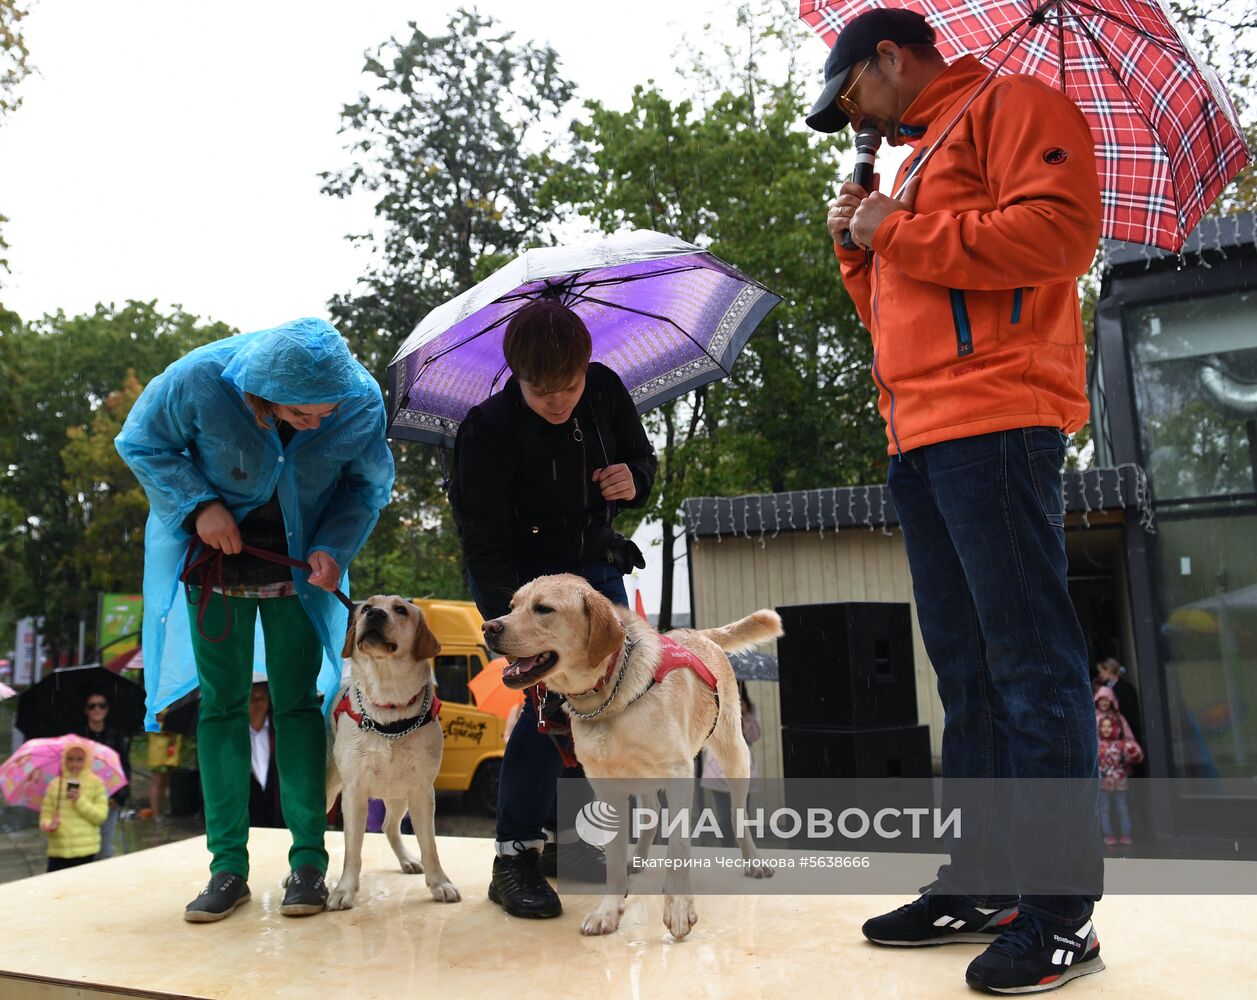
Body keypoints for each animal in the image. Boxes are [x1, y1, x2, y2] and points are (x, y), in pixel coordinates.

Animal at [326, 597, 460, 909]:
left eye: (401, 609)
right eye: (365, 608)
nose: (375, 614)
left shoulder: (422, 790)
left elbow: (430, 845)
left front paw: (440, 883)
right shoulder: (353, 792)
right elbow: (352, 849)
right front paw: (344, 889)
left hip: (399, 794)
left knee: (389, 825)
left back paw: (408, 859)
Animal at [485, 575, 779, 939]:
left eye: (543, 608)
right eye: (512, 607)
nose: (488, 627)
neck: (609, 696)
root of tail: (698, 632)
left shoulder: (680, 774)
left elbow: (679, 845)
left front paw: (678, 908)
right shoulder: (608, 788)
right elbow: (613, 859)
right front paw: (609, 912)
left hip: (734, 755)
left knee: (738, 817)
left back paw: (753, 861)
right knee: (651, 815)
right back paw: (636, 859)